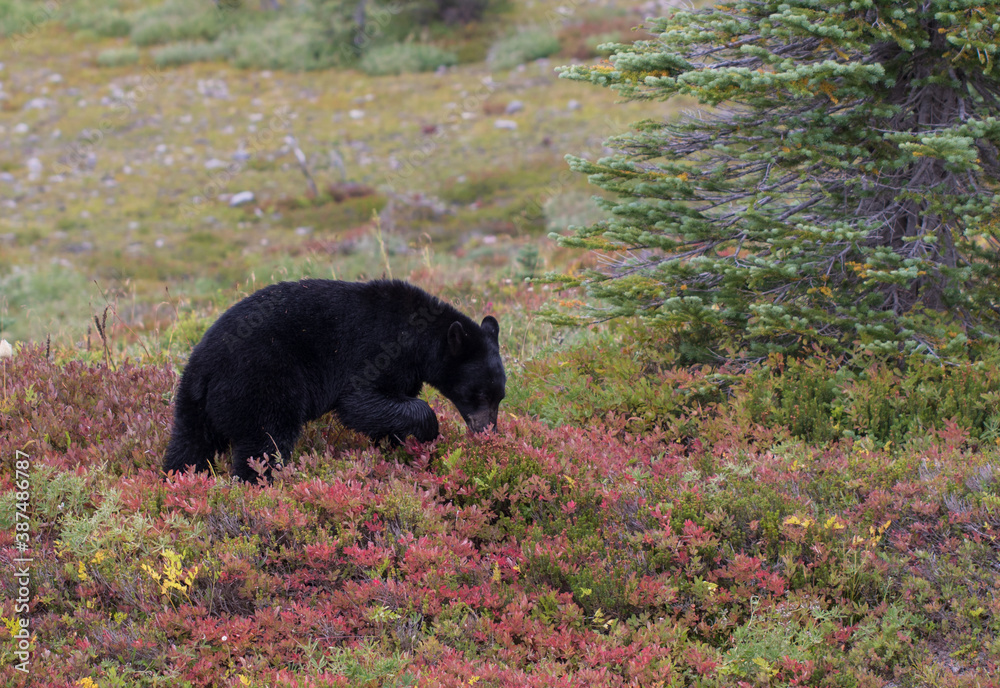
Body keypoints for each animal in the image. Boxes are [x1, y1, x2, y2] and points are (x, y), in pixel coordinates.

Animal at [166, 276, 508, 482]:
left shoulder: (405, 371)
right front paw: (428, 432)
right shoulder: (378, 350)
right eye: (477, 394)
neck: (418, 337)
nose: (488, 432)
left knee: (189, 444)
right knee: (266, 440)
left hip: (193, 403)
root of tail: (206, 369)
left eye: (500, 395)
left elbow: (390, 407)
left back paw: (181, 479)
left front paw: (394, 447)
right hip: (262, 383)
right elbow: (360, 401)